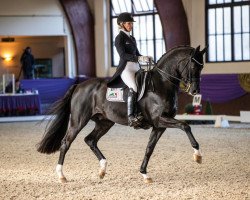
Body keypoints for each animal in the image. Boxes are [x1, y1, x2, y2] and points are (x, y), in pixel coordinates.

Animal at [36, 45, 206, 183]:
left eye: (202, 67)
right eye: (193, 66)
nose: (195, 91)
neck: (162, 83)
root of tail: (78, 86)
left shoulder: (159, 125)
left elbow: (149, 148)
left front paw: (145, 174)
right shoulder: (160, 119)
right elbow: (185, 125)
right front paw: (197, 155)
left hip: (105, 122)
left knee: (90, 140)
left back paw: (102, 169)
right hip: (78, 121)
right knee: (66, 142)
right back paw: (61, 176)